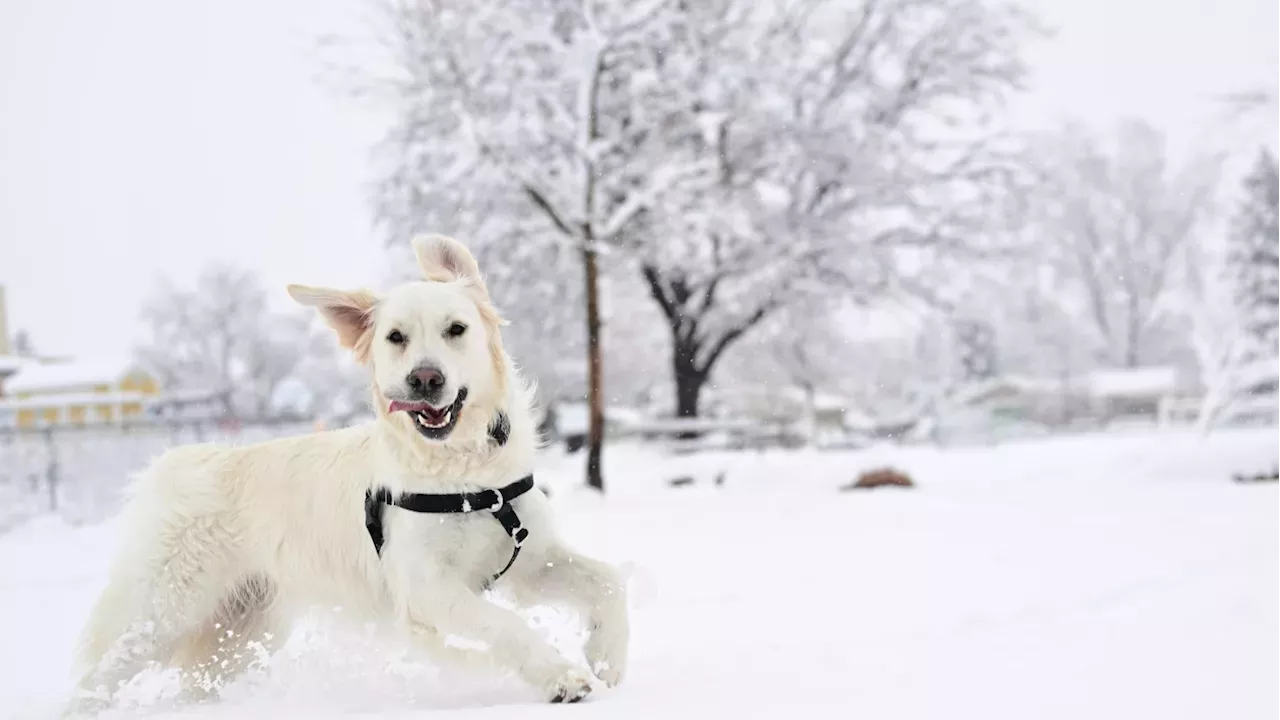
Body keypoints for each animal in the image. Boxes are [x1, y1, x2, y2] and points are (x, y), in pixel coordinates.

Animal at [70, 235, 629, 712]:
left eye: (456, 329)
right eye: (396, 337)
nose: (425, 379)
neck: (468, 478)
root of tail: (178, 462)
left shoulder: (531, 560)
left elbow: (608, 580)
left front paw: (608, 657)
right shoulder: (426, 585)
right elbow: (504, 625)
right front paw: (561, 676)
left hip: (243, 629)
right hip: (161, 612)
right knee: (96, 674)